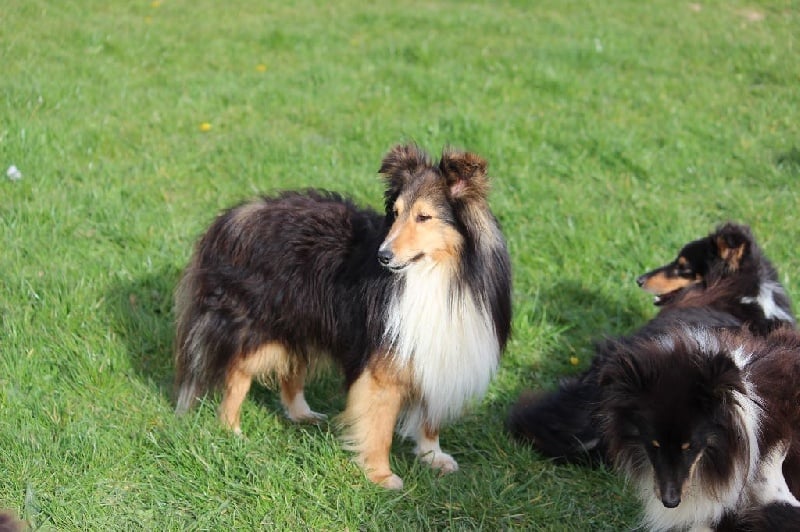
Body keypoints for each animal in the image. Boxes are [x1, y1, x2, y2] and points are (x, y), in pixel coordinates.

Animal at [173, 144, 512, 489]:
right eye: (396, 213)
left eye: (423, 216)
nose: (383, 256)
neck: (436, 275)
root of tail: (234, 217)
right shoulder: (383, 368)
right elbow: (379, 427)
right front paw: (381, 476)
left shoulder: (440, 354)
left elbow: (430, 419)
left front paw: (433, 456)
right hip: (259, 328)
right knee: (238, 376)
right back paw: (232, 432)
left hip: (300, 320)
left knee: (290, 368)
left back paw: (302, 414)